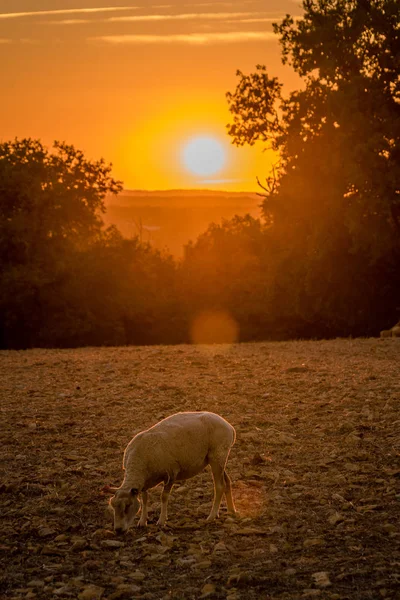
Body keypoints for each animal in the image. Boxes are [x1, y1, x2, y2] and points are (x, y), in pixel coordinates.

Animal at [108, 410, 236, 532]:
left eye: (128, 505)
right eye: (113, 505)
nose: (118, 530)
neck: (138, 464)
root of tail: (230, 427)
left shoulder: (171, 473)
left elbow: (164, 497)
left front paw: (161, 520)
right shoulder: (145, 482)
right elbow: (144, 499)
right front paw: (142, 521)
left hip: (217, 456)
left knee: (219, 486)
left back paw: (212, 516)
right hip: (217, 460)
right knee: (227, 482)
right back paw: (231, 510)